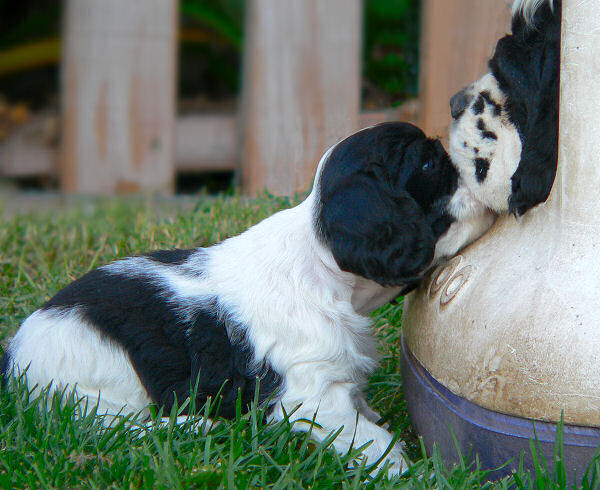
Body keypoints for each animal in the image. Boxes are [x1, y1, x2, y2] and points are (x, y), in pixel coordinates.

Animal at [2, 121, 494, 474]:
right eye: (428, 166)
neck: (321, 266)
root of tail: (14, 360)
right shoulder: (314, 396)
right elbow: (375, 443)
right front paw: (409, 471)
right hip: (97, 389)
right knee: (118, 428)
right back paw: (196, 425)